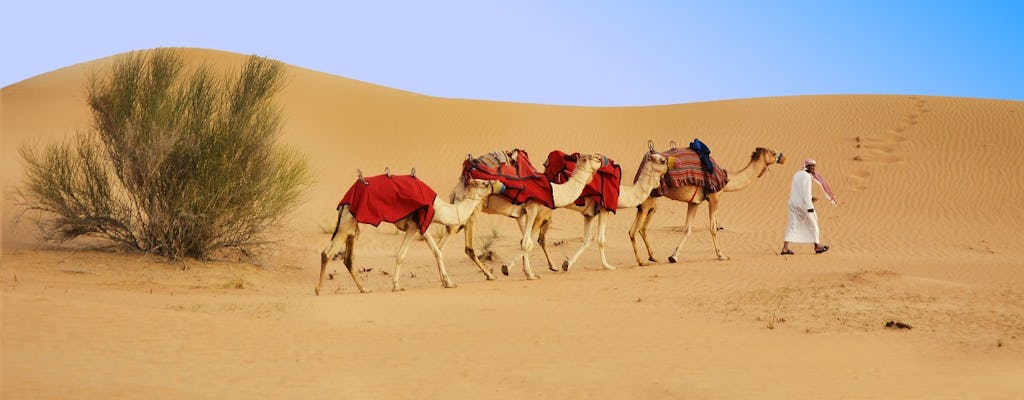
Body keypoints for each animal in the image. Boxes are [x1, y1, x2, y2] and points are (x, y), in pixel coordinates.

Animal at [313, 175, 501, 294]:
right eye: (484, 183)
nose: (497, 182)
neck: (440, 209)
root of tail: (345, 200)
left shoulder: (413, 227)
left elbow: (403, 255)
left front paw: (396, 286)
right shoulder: (421, 224)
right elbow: (436, 252)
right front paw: (450, 283)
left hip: (352, 226)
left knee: (347, 258)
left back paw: (364, 289)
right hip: (348, 222)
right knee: (327, 253)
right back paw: (318, 289)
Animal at [444, 152, 602, 280]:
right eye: (592, 158)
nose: (601, 158)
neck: (552, 190)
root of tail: (456, 190)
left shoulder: (521, 213)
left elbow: (525, 241)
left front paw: (520, 270)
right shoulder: (533, 207)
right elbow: (527, 242)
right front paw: (530, 275)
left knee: (458, 239)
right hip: (472, 210)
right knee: (468, 246)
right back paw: (486, 275)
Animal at [626, 147, 786, 265]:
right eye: (773, 153)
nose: (783, 157)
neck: (727, 180)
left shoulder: (694, 202)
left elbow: (687, 229)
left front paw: (673, 256)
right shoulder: (715, 197)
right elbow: (713, 228)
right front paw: (722, 255)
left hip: (650, 202)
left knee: (642, 228)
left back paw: (653, 257)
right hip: (648, 200)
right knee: (634, 230)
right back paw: (641, 261)